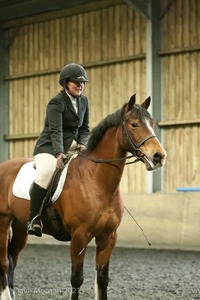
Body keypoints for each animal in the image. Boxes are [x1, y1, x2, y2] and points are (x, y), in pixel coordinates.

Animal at [0, 94, 166, 300]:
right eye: (134, 124)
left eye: (152, 123)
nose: (159, 156)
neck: (96, 181)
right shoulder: (80, 236)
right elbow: (76, 279)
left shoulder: (108, 237)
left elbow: (102, 280)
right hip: (3, 222)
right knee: (4, 263)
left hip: (21, 226)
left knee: (12, 259)